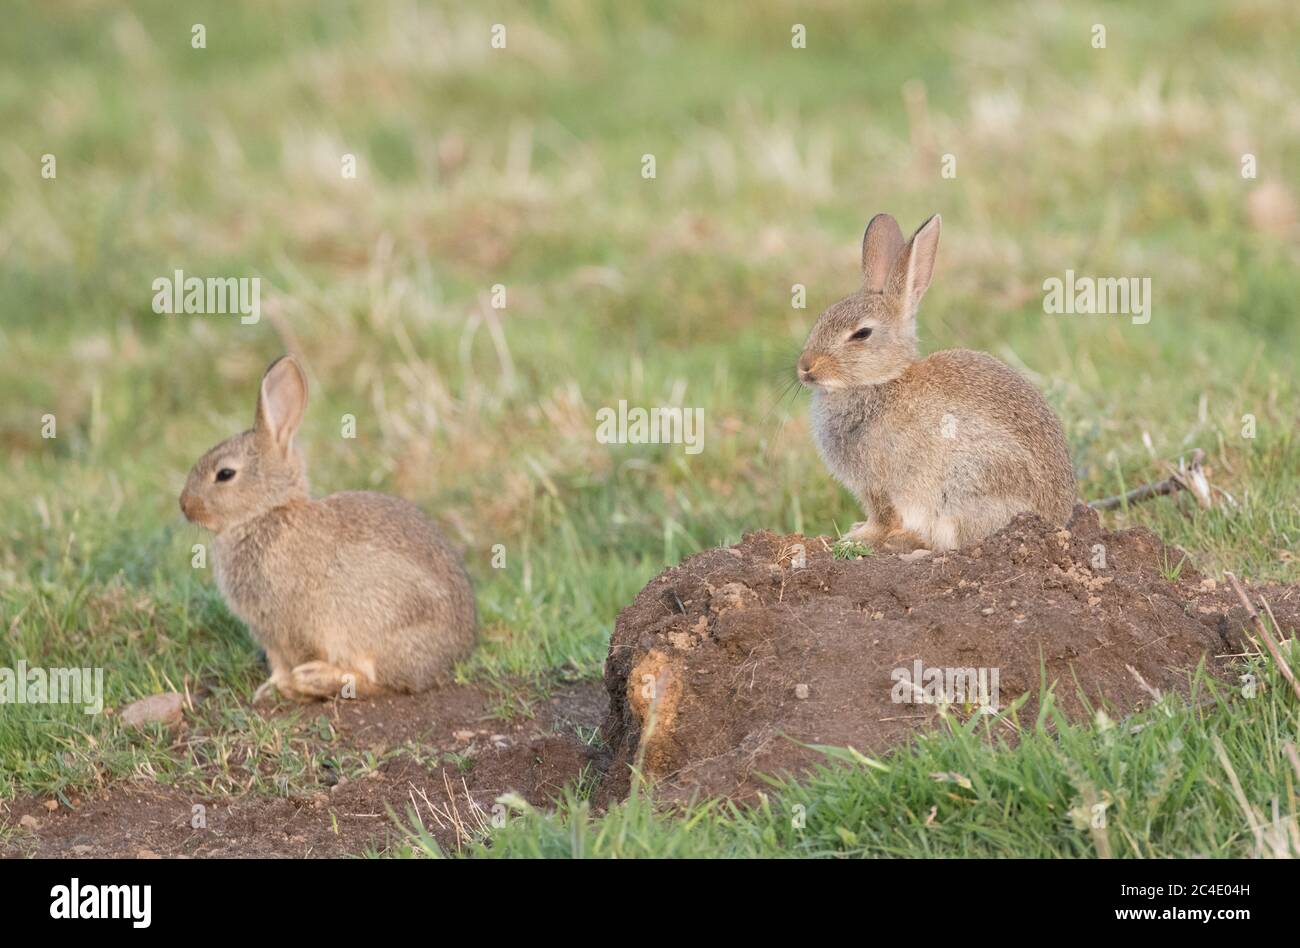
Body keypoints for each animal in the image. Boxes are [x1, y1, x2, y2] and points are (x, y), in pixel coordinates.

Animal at [175, 351, 475, 697]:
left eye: (225, 474)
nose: (184, 505)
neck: (267, 513)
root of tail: (453, 658)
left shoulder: (294, 626)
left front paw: (289, 688)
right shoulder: (269, 635)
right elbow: (277, 665)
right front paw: (268, 690)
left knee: (376, 682)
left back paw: (316, 678)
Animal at [795, 214, 1081, 551]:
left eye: (861, 334)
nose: (805, 367)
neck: (882, 381)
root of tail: (1056, 522)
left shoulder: (879, 487)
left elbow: (883, 517)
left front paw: (857, 539)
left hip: (969, 485)